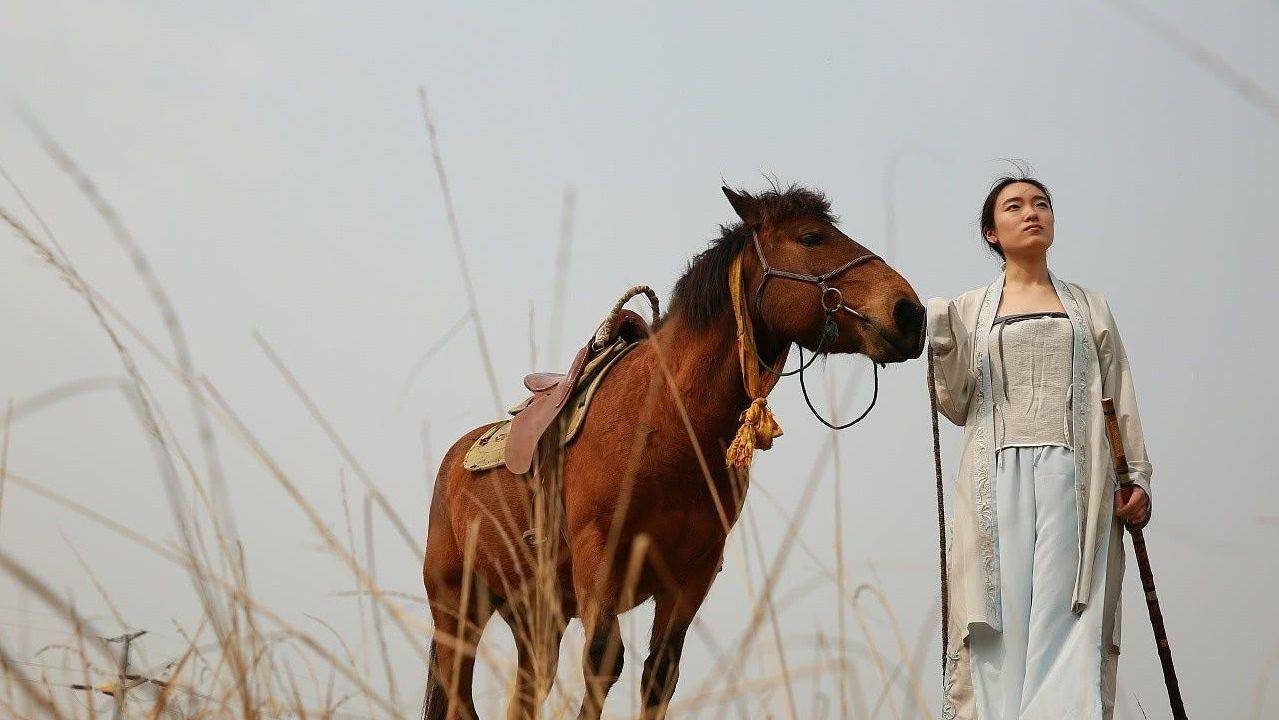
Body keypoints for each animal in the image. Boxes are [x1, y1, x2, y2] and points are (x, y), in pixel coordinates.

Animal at [424, 185, 925, 720]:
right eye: (810, 237)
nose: (909, 313)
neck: (666, 418)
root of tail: (453, 462)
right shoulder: (598, 555)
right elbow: (603, 661)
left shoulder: (691, 574)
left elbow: (659, 675)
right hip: (456, 609)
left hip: (533, 616)